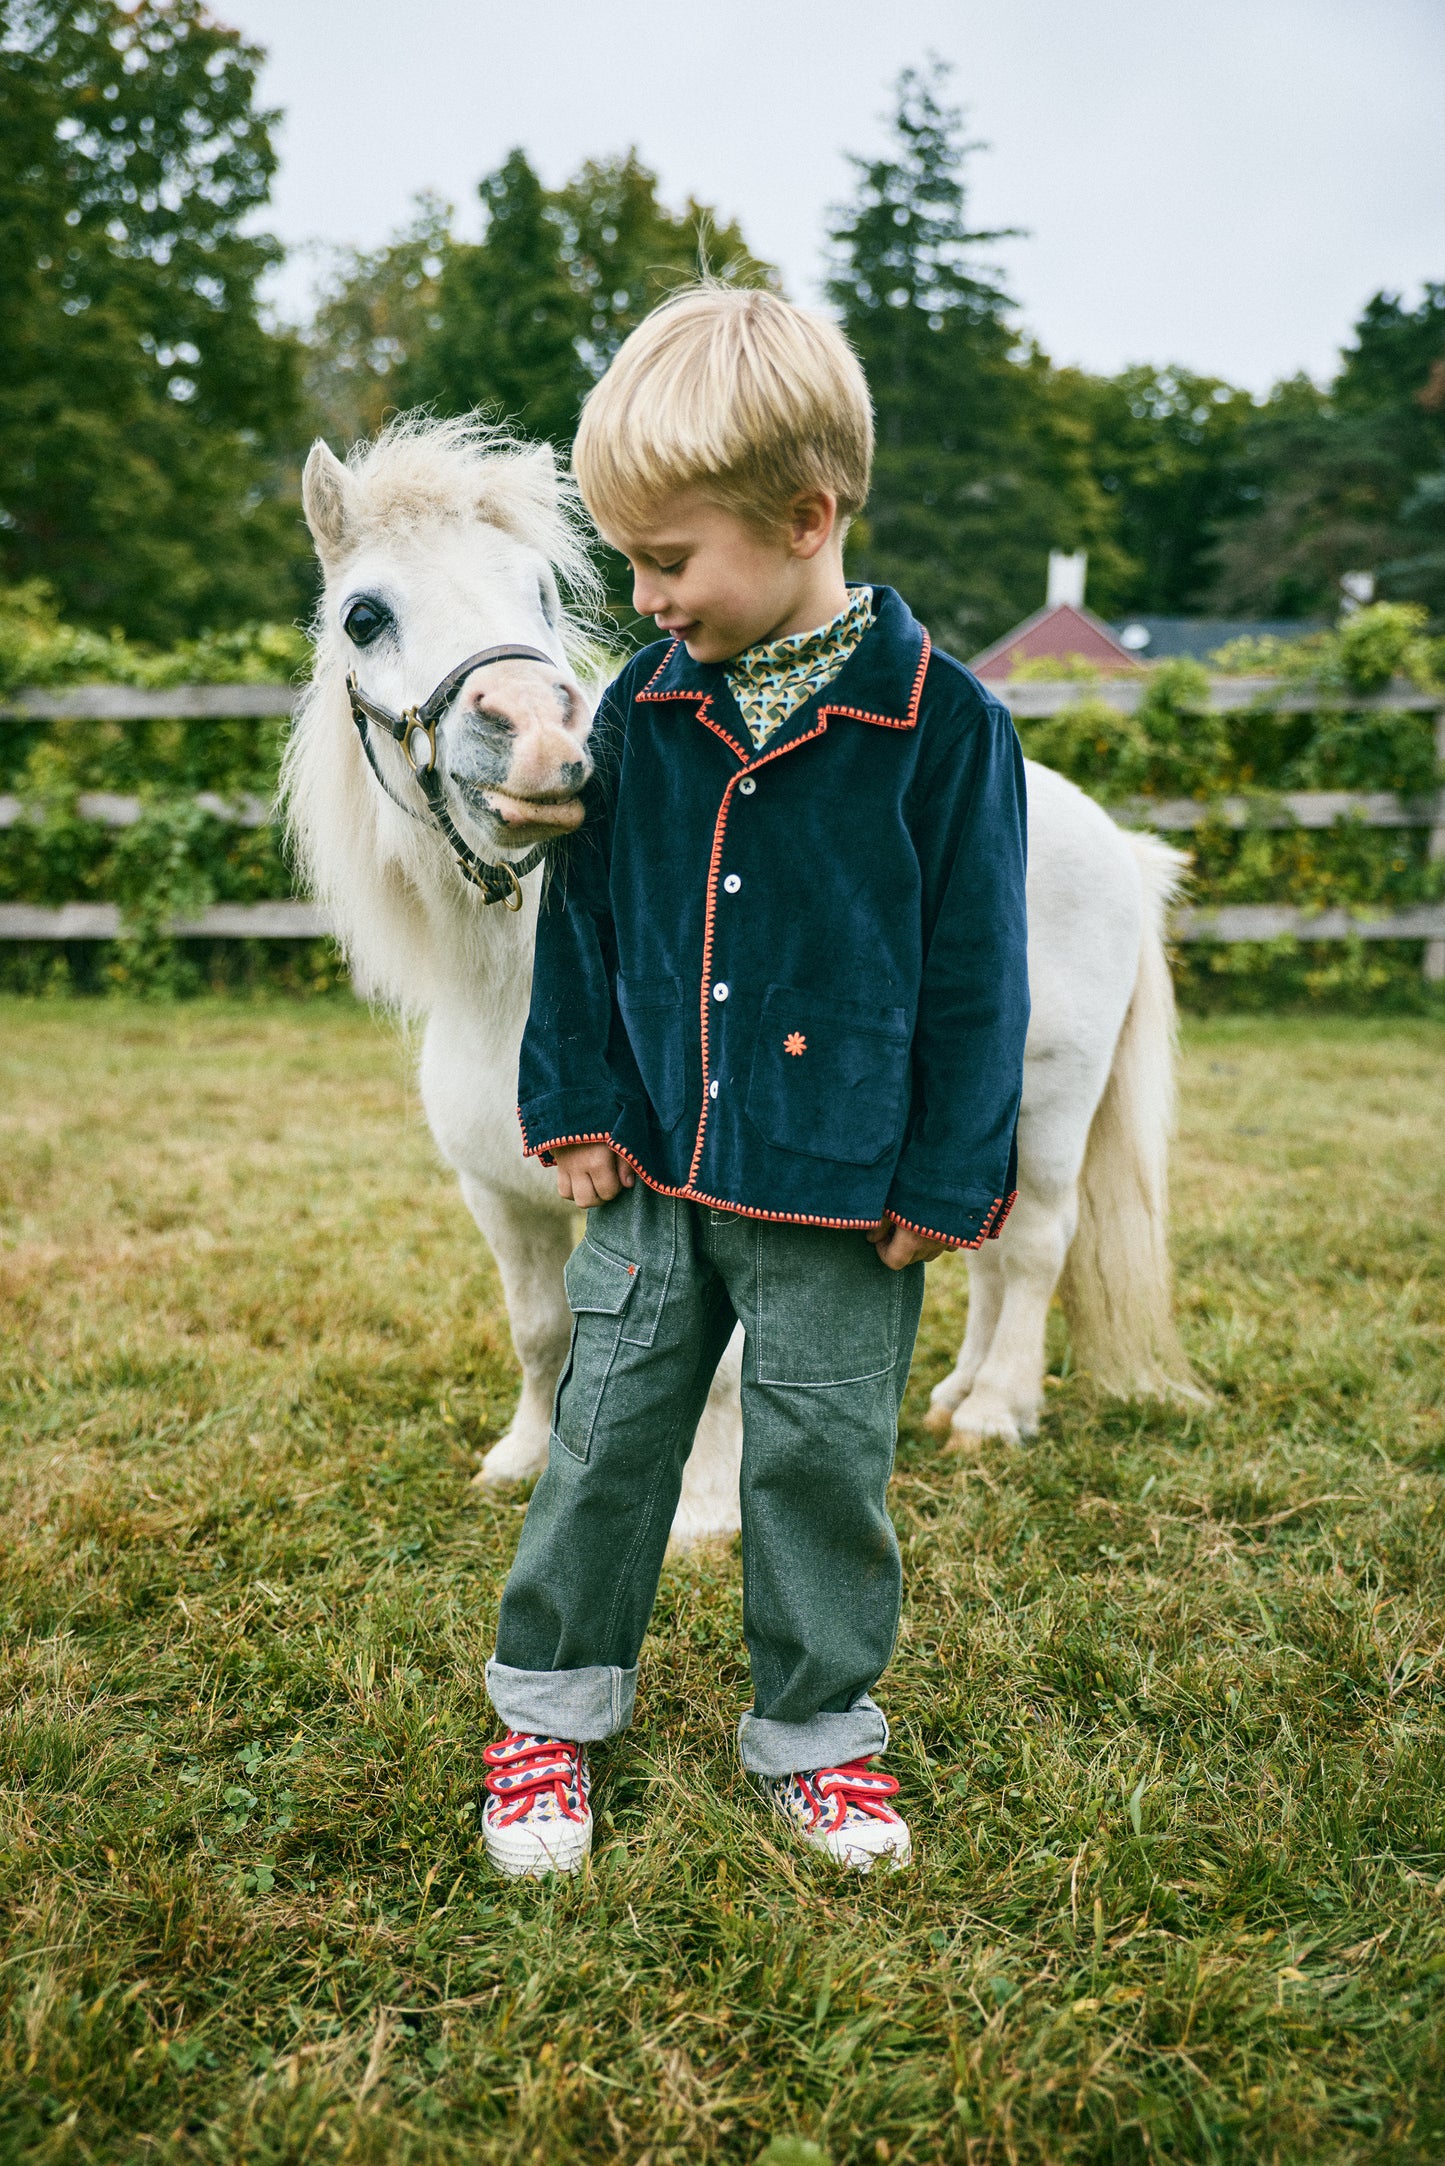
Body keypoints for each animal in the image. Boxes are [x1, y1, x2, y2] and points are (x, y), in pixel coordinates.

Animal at [281, 418, 1195, 1542]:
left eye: (539, 594)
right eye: (364, 617)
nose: (537, 735)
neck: (512, 996)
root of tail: (1114, 842)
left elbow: (717, 1373)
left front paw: (707, 1513)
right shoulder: (499, 1196)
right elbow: (540, 1331)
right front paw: (522, 1457)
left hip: (1051, 1110)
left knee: (1032, 1249)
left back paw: (995, 1412)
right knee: (983, 1252)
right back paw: (954, 1398)